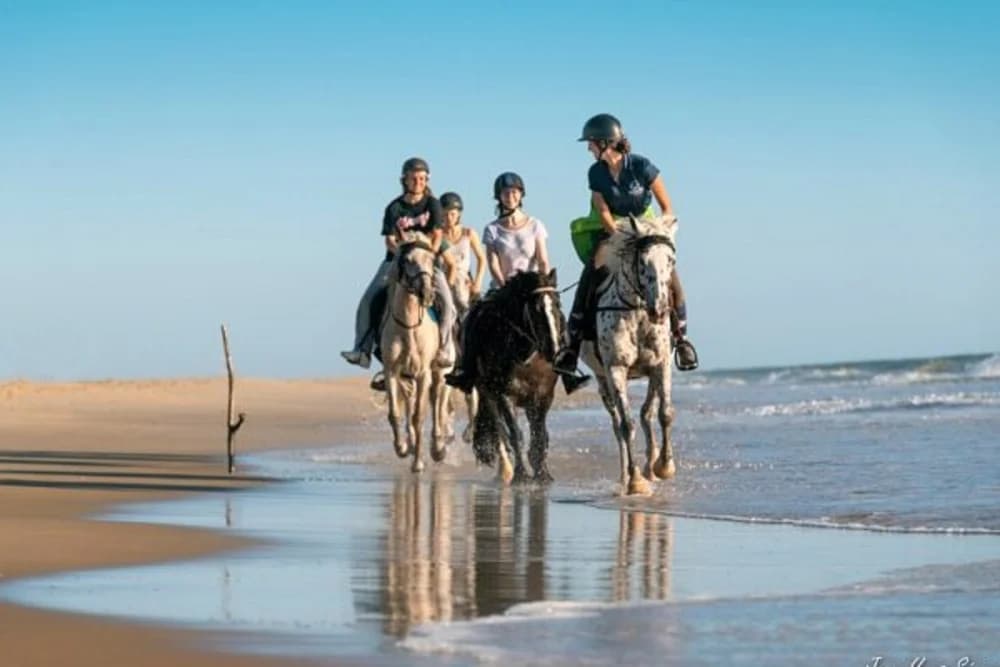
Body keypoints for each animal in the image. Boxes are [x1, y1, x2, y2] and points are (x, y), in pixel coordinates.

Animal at [380, 234, 451, 472]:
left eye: (431, 260)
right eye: (408, 260)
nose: (428, 293)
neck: (409, 326)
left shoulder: (423, 373)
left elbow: (419, 416)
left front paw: (419, 462)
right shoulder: (392, 372)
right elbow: (396, 413)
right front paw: (402, 448)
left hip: (440, 372)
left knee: (438, 402)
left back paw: (438, 448)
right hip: (406, 377)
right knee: (411, 403)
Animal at [467, 270, 564, 484]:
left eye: (557, 304)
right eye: (536, 309)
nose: (553, 350)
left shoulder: (543, 398)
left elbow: (540, 435)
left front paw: (542, 473)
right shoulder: (506, 396)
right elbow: (515, 434)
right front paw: (522, 476)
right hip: (488, 394)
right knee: (499, 430)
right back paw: (505, 471)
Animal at [580, 214, 679, 495]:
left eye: (671, 260)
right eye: (643, 261)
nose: (659, 310)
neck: (637, 313)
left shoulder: (661, 364)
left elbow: (664, 413)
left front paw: (664, 467)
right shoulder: (616, 369)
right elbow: (626, 424)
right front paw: (636, 482)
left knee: (647, 412)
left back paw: (651, 466)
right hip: (603, 382)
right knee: (617, 425)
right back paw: (626, 476)